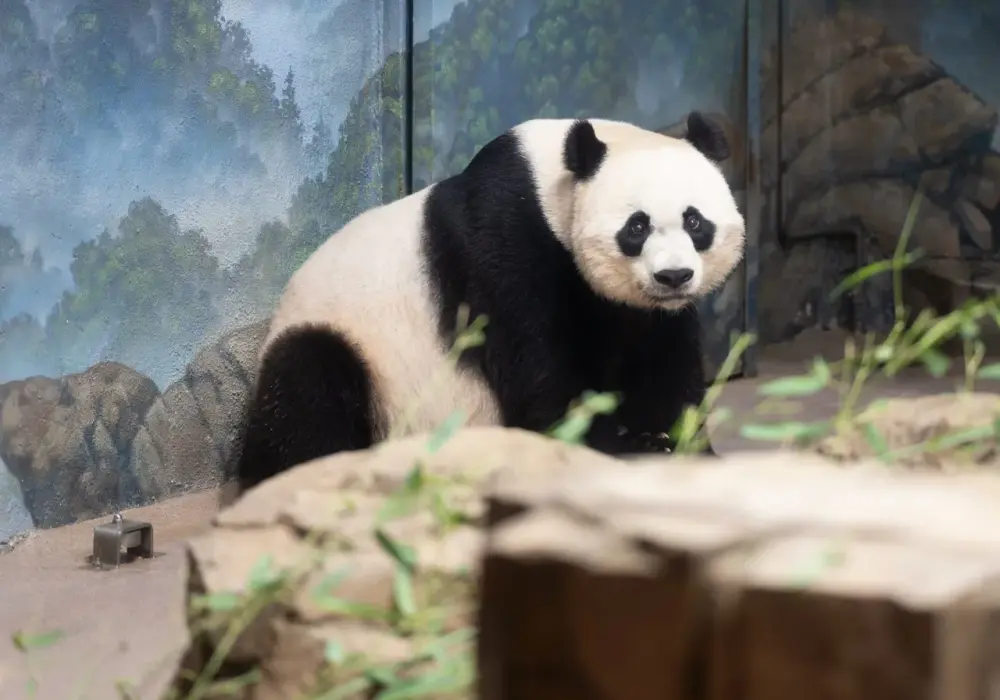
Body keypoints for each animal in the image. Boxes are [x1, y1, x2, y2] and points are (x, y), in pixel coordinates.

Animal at [233, 111, 745, 494]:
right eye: (636, 227)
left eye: (695, 222)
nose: (673, 276)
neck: (552, 183)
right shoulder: (504, 240)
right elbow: (536, 365)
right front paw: (607, 446)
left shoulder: (644, 311)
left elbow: (662, 362)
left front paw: (668, 441)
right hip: (348, 346)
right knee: (305, 389)